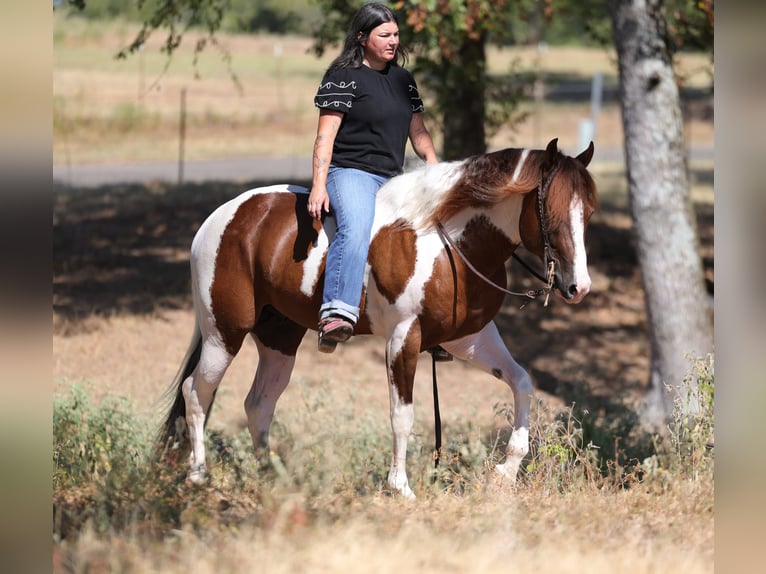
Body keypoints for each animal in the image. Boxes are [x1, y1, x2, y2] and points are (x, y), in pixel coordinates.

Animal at [161, 138, 598, 498]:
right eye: (550, 211)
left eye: (589, 212)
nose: (579, 287)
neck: (447, 244)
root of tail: (222, 217)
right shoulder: (404, 339)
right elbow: (402, 416)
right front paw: (400, 487)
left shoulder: (469, 337)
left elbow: (521, 382)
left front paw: (505, 472)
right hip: (223, 333)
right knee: (196, 392)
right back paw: (198, 475)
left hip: (279, 339)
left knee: (258, 405)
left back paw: (273, 478)